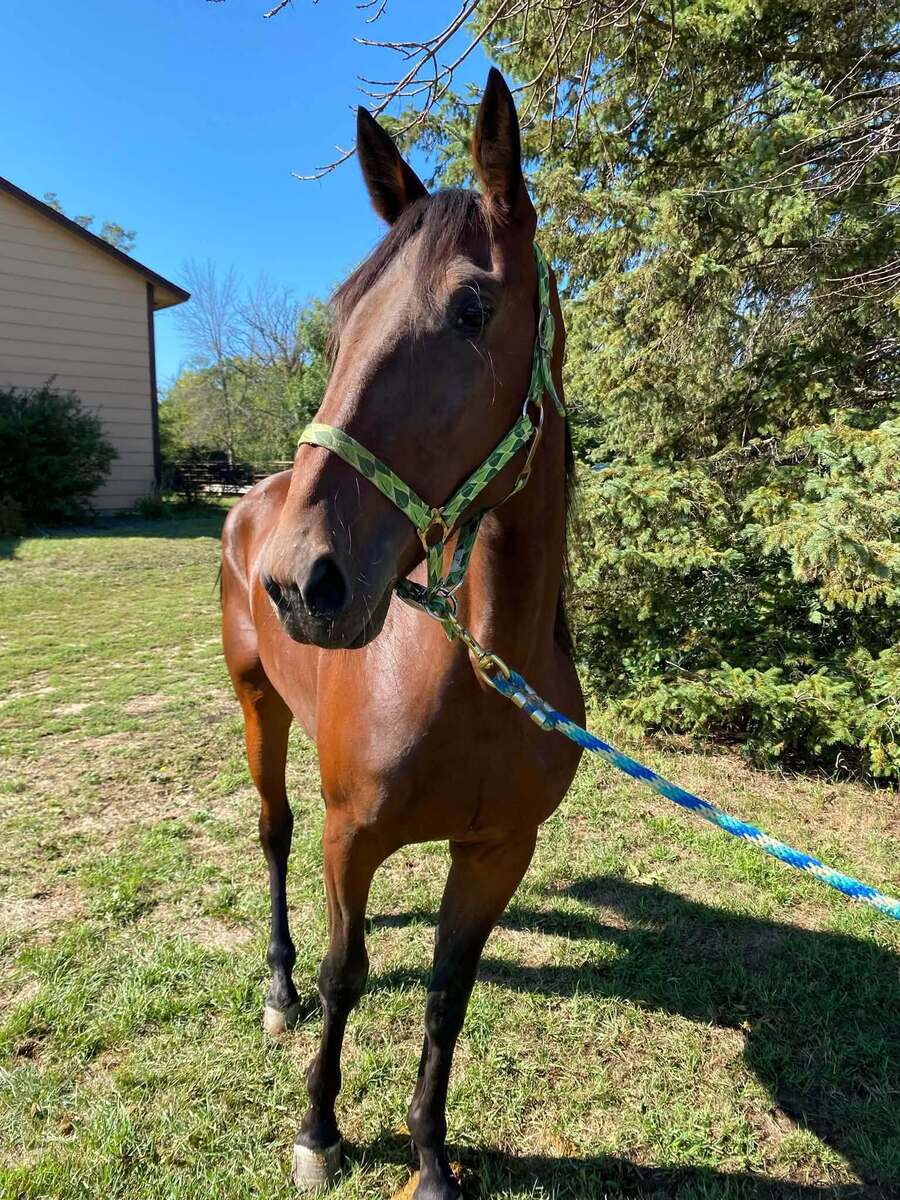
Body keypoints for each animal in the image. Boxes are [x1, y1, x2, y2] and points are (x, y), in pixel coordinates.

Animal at [220, 68, 584, 1200]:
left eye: (472, 308)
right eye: (341, 316)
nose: (301, 582)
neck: (473, 676)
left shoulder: (498, 852)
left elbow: (444, 995)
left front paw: (429, 1157)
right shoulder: (353, 836)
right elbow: (348, 974)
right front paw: (319, 1128)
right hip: (258, 709)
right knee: (275, 839)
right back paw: (279, 985)